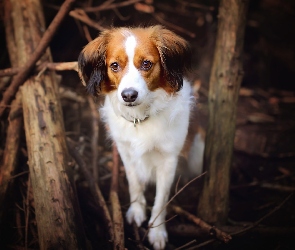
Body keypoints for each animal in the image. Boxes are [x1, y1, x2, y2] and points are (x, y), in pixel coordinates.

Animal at [78, 25, 197, 250]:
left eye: (146, 64)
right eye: (115, 66)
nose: (128, 95)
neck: (141, 118)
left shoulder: (168, 159)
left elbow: (161, 199)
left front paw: (157, 232)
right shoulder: (126, 151)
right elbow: (134, 183)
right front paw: (137, 212)